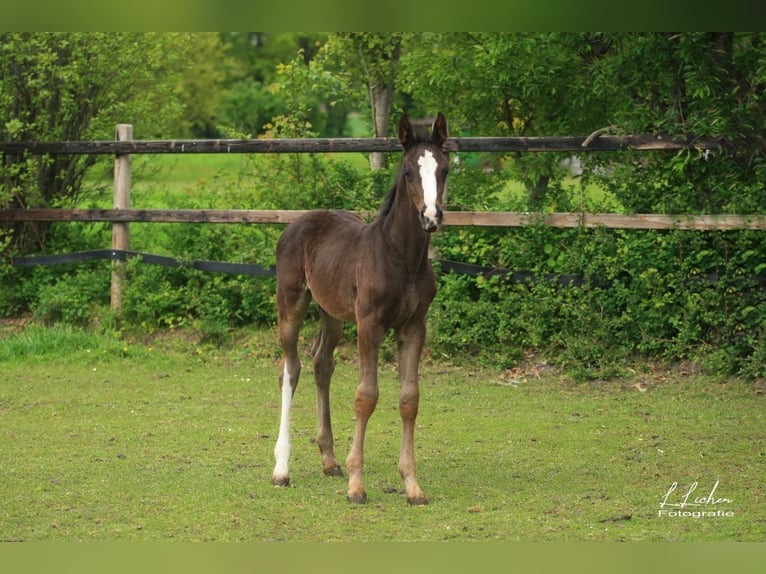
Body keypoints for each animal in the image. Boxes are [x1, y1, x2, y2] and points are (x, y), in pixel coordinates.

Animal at [270, 112, 450, 505]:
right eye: (408, 171)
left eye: (444, 169)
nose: (430, 216)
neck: (401, 257)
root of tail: (298, 222)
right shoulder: (370, 324)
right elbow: (366, 397)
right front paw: (356, 485)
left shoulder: (414, 326)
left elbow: (409, 399)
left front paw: (412, 486)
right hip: (292, 304)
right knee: (290, 368)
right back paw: (282, 468)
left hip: (332, 313)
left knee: (322, 364)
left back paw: (329, 460)